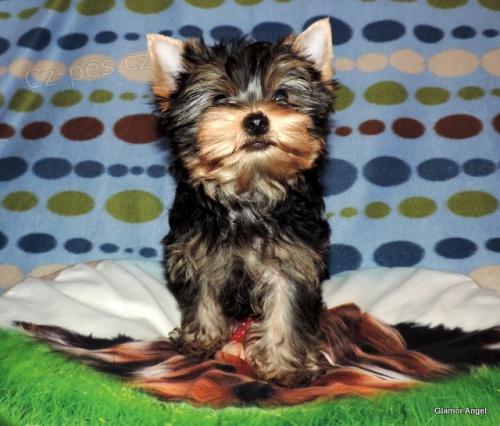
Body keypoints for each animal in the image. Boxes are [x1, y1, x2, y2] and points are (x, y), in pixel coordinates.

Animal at [147, 18, 335, 387]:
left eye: (282, 96)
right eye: (219, 99)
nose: (257, 119)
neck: (248, 192)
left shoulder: (292, 260)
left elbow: (285, 309)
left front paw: (285, 366)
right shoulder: (197, 254)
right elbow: (202, 298)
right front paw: (201, 339)